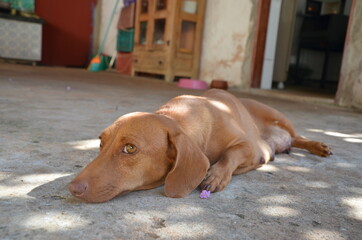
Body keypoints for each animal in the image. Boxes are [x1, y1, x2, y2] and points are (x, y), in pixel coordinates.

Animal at [68, 89, 330, 202]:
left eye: (130, 148)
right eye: (101, 143)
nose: (73, 188)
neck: (182, 114)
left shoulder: (249, 146)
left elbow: (230, 155)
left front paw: (215, 175)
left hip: (280, 118)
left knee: (298, 137)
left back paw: (318, 146)